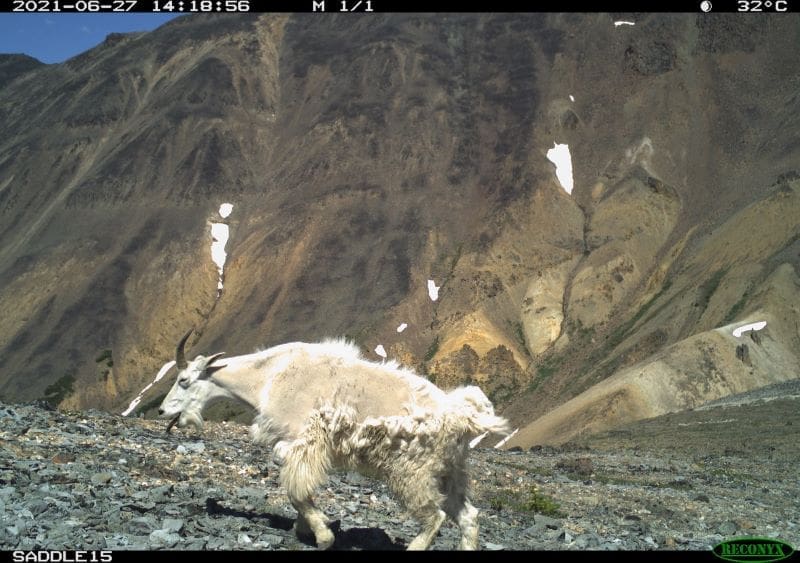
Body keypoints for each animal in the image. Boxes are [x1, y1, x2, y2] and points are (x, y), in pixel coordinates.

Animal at [158, 329, 509, 550]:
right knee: (468, 516)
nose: (162, 410)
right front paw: (304, 528)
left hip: (413, 472)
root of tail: (464, 415)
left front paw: (323, 535)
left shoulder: (302, 441)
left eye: (184, 380)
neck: (268, 377)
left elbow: (296, 488)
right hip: (450, 472)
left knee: (434, 517)